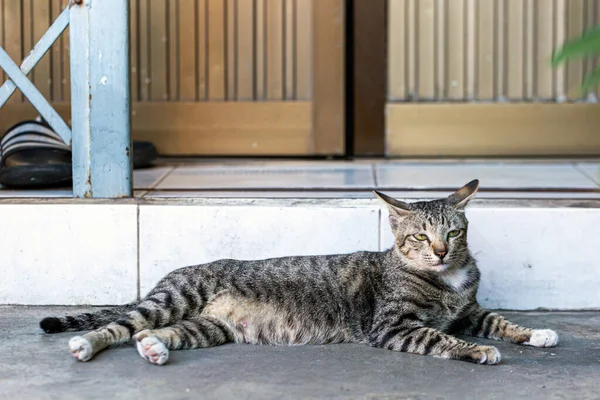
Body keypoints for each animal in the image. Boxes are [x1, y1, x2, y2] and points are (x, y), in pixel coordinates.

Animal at [41, 180, 556, 368]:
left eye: (453, 231)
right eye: (418, 237)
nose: (441, 252)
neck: (447, 282)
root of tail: (169, 278)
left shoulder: (469, 310)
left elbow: (498, 320)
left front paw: (536, 334)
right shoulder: (393, 326)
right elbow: (442, 337)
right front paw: (477, 351)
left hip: (206, 327)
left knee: (152, 333)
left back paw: (153, 348)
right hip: (175, 298)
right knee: (120, 326)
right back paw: (86, 344)